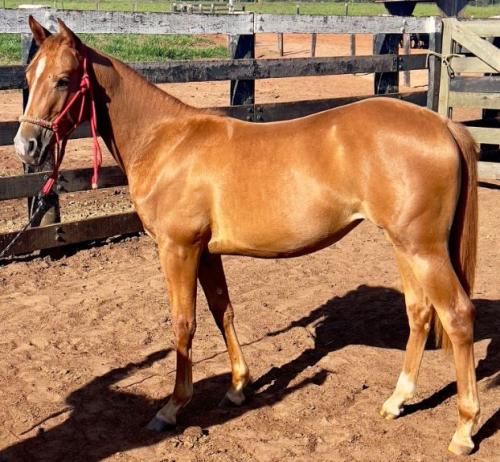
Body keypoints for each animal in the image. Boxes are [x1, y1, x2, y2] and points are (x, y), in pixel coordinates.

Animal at [13, 18, 480, 454]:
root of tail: (443, 125)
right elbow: (223, 311)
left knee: (457, 317)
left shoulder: (177, 249)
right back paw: (397, 401)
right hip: (405, 246)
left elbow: (183, 324)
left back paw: (463, 429)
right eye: (29, 77)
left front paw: (172, 407)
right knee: (419, 313)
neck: (166, 143)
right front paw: (238, 386)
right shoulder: (205, 253)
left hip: (424, 250)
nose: (26, 146)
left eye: (63, 79)